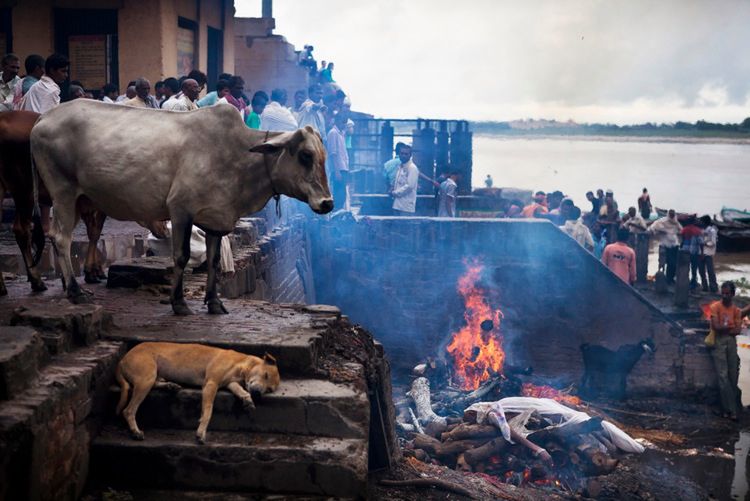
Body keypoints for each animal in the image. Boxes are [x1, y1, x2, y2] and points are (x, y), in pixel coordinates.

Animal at [32, 99, 332, 314]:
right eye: (305, 155)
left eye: (323, 157)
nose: (327, 203)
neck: (238, 157)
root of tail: (43, 118)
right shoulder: (180, 211)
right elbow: (181, 256)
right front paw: (178, 302)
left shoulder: (215, 220)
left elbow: (214, 261)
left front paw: (214, 302)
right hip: (63, 193)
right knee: (60, 237)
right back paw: (75, 291)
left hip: (81, 200)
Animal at [114, 340, 282, 442]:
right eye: (266, 375)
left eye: (269, 389)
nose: (258, 394)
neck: (242, 364)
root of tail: (122, 360)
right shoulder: (211, 384)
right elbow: (207, 411)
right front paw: (201, 432)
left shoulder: (230, 383)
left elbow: (242, 391)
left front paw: (247, 400)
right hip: (146, 378)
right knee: (128, 410)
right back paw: (135, 431)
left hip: (151, 377)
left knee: (155, 383)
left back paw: (170, 385)